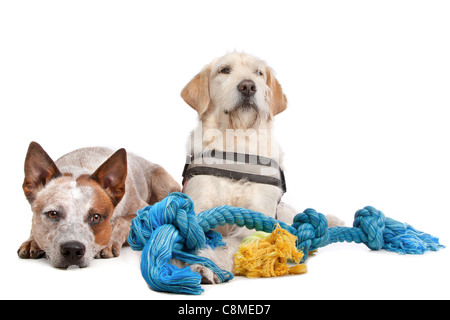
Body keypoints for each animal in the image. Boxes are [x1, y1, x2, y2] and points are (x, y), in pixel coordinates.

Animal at [18, 142, 181, 268]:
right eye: (52, 214)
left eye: (96, 217)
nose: (72, 250)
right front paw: (32, 241)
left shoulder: (144, 211)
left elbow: (123, 221)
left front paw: (109, 241)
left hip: (161, 181)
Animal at [181, 52, 298, 282]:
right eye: (224, 70)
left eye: (258, 72)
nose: (248, 86)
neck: (236, 145)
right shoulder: (200, 204)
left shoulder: (257, 215)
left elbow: (235, 244)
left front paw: (211, 263)